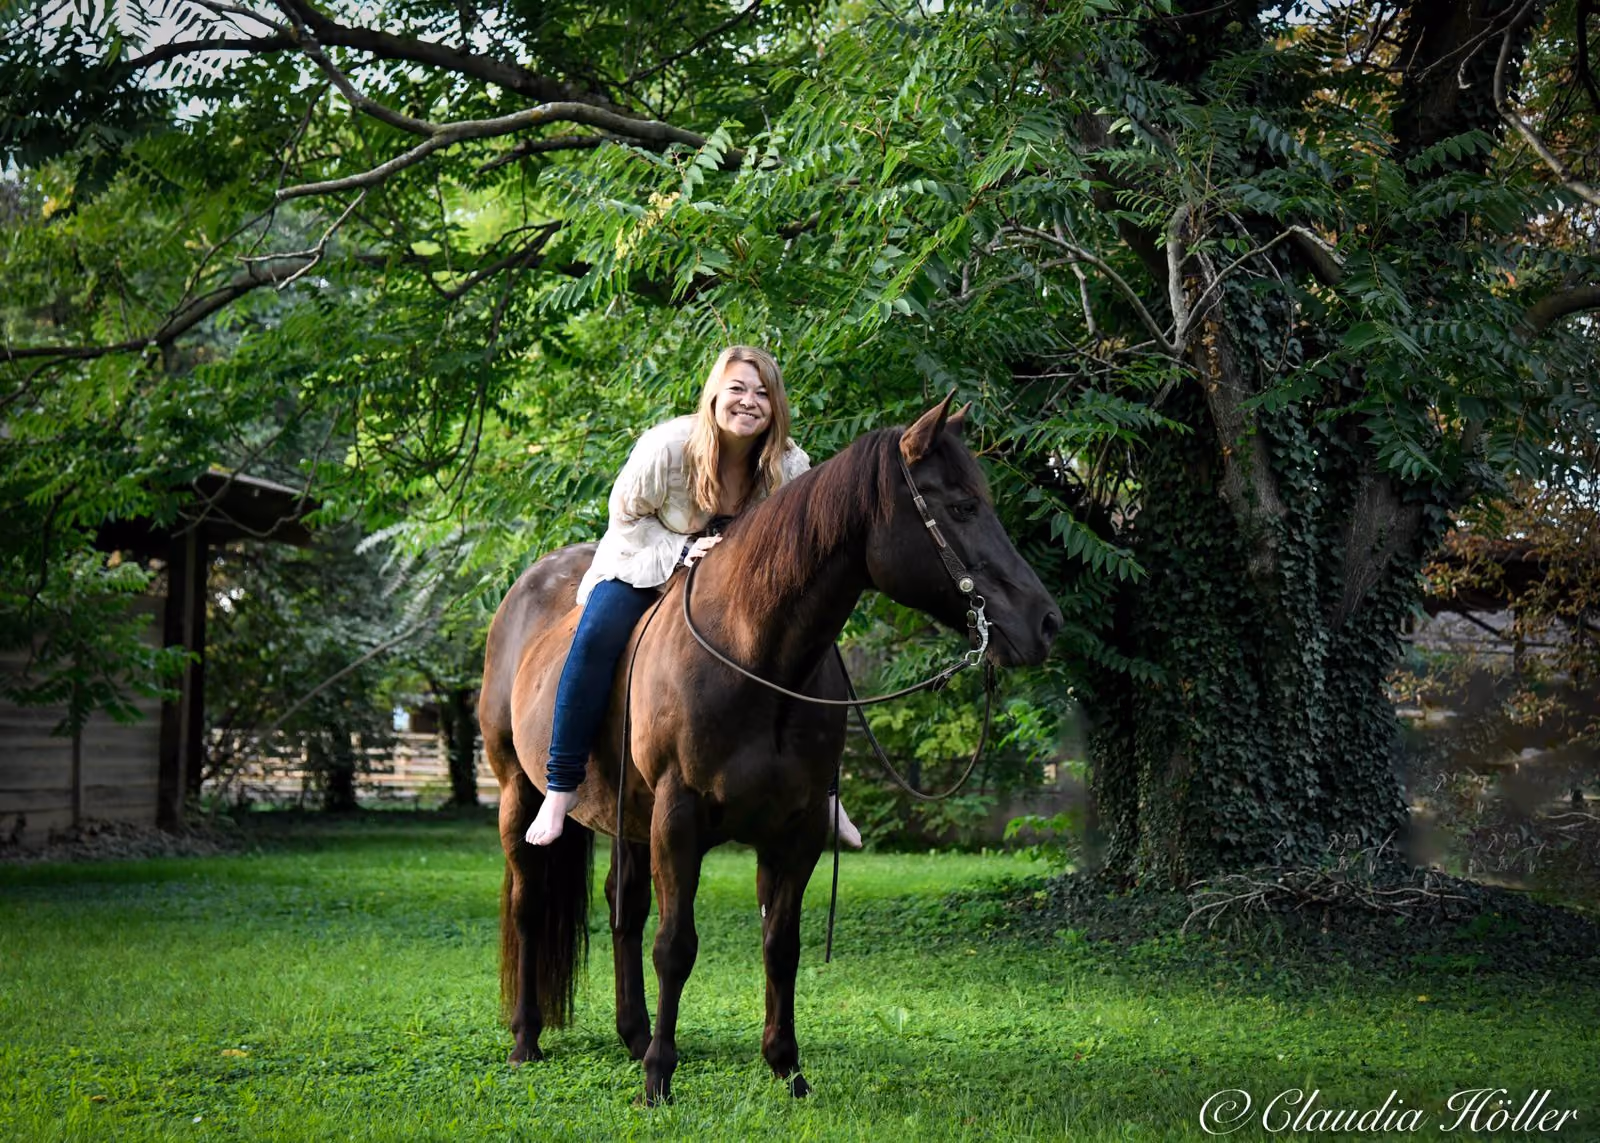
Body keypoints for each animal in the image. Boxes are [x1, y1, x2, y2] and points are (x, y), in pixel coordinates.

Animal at [477, 393, 1062, 1104]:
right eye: (960, 507)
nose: (1045, 622)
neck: (753, 652)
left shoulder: (795, 827)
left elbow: (781, 944)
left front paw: (787, 1069)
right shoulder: (678, 817)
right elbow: (676, 945)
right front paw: (659, 1078)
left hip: (628, 818)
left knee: (623, 908)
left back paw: (633, 1034)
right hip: (520, 794)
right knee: (529, 905)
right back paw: (527, 1039)